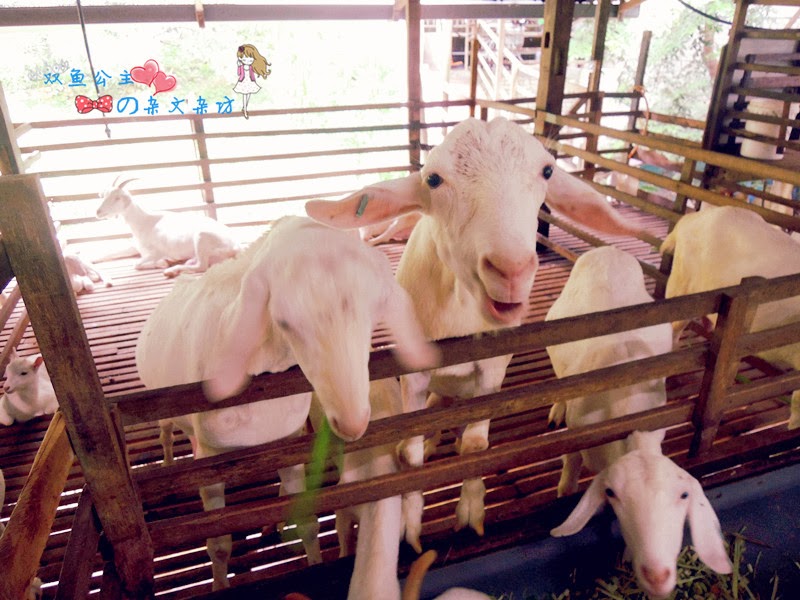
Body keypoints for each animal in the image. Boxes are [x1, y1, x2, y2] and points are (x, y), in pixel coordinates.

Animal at [96, 176, 240, 278]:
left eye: (117, 198)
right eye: (104, 196)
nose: (98, 212)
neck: (144, 221)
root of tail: (236, 247)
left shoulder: (154, 252)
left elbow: (136, 264)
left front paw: (162, 263)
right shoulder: (136, 248)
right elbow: (111, 254)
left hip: (202, 238)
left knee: (202, 266)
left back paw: (171, 270)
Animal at [135, 216, 439, 591]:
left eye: (374, 312)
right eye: (283, 321)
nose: (352, 422)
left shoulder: (289, 442)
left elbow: (307, 524)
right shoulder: (208, 459)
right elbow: (218, 544)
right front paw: (220, 585)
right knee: (165, 432)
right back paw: (166, 462)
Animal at [305, 116, 644, 550]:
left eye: (547, 172)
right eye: (433, 179)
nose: (511, 270)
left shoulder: (493, 368)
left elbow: (476, 444)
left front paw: (469, 513)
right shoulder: (413, 374)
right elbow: (409, 453)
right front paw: (411, 526)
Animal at [545, 247, 730, 599]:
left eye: (684, 496)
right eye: (612, 493)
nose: (658, 575)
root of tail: (608, 249)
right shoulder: (577, 435)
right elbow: (570, 469)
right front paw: (563, 492)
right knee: (562, 382)